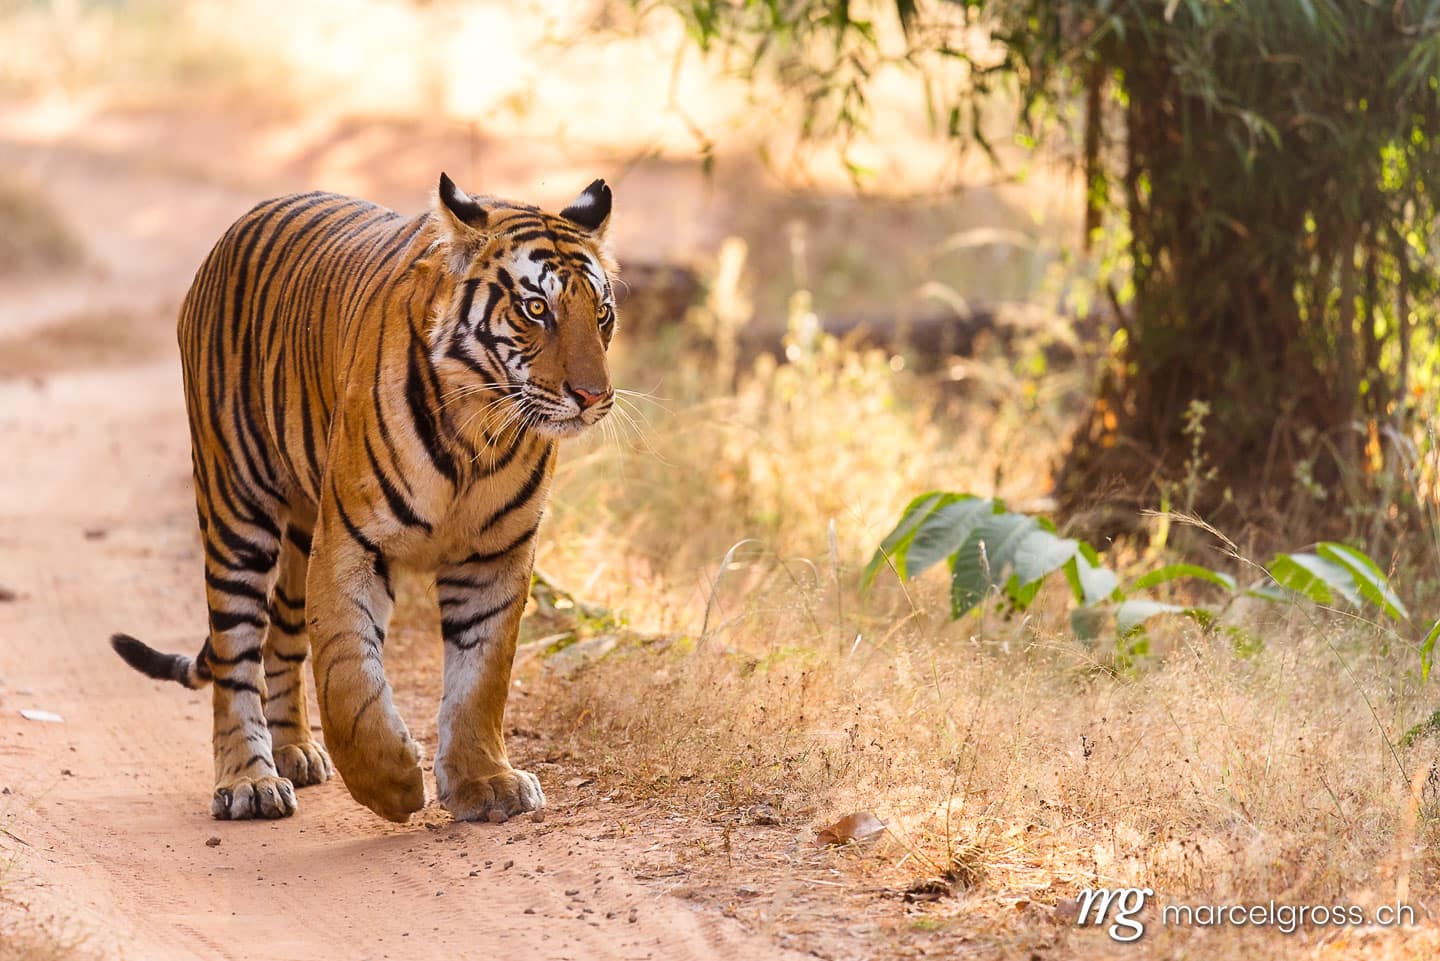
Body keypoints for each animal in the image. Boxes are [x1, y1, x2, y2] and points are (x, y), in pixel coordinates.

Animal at [110, 173, 618, 823]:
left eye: (601, 314)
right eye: (536, 308)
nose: (594, 396)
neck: (480, 429)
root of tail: (238, 227)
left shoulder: (495, 556)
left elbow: (482, 678)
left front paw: (486, 782)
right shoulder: (351, 542)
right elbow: (349, 675)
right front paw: (391, 783)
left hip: (301, 531)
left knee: (281, 635)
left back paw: (294, 751)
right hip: (235, 509)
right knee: (234, 652)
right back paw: (249, 781)